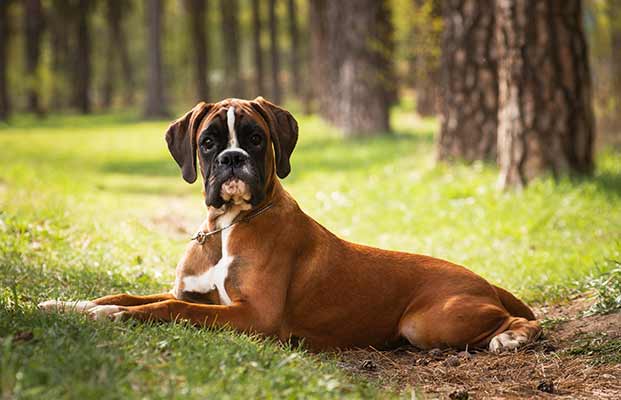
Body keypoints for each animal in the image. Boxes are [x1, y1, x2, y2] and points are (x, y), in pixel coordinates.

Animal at [41, 98, 540, 352]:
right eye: (208, 142)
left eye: (256, 139)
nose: (232, 158)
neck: (227, 227)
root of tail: (484, 281)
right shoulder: (195, 293)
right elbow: (131, 294)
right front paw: (67, 305)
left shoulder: (253, 316)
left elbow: (167, 309)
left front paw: (113, 316)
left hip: (429, 321)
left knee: (523, 320)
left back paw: (512, 337)